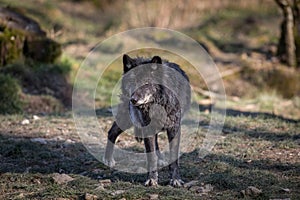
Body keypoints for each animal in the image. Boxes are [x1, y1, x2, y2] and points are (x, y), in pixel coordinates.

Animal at [104, 54, 191, 187]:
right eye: (132, 82)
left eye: (146, 83)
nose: (133, 100)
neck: (156, 105)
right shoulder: (147, 128)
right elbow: (151, 157)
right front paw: (152, 179)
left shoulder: (174, 128)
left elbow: (173, 156)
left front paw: (176, 179)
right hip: (127, 118)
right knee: (112, 132)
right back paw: (108, 159)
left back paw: (161, 159)